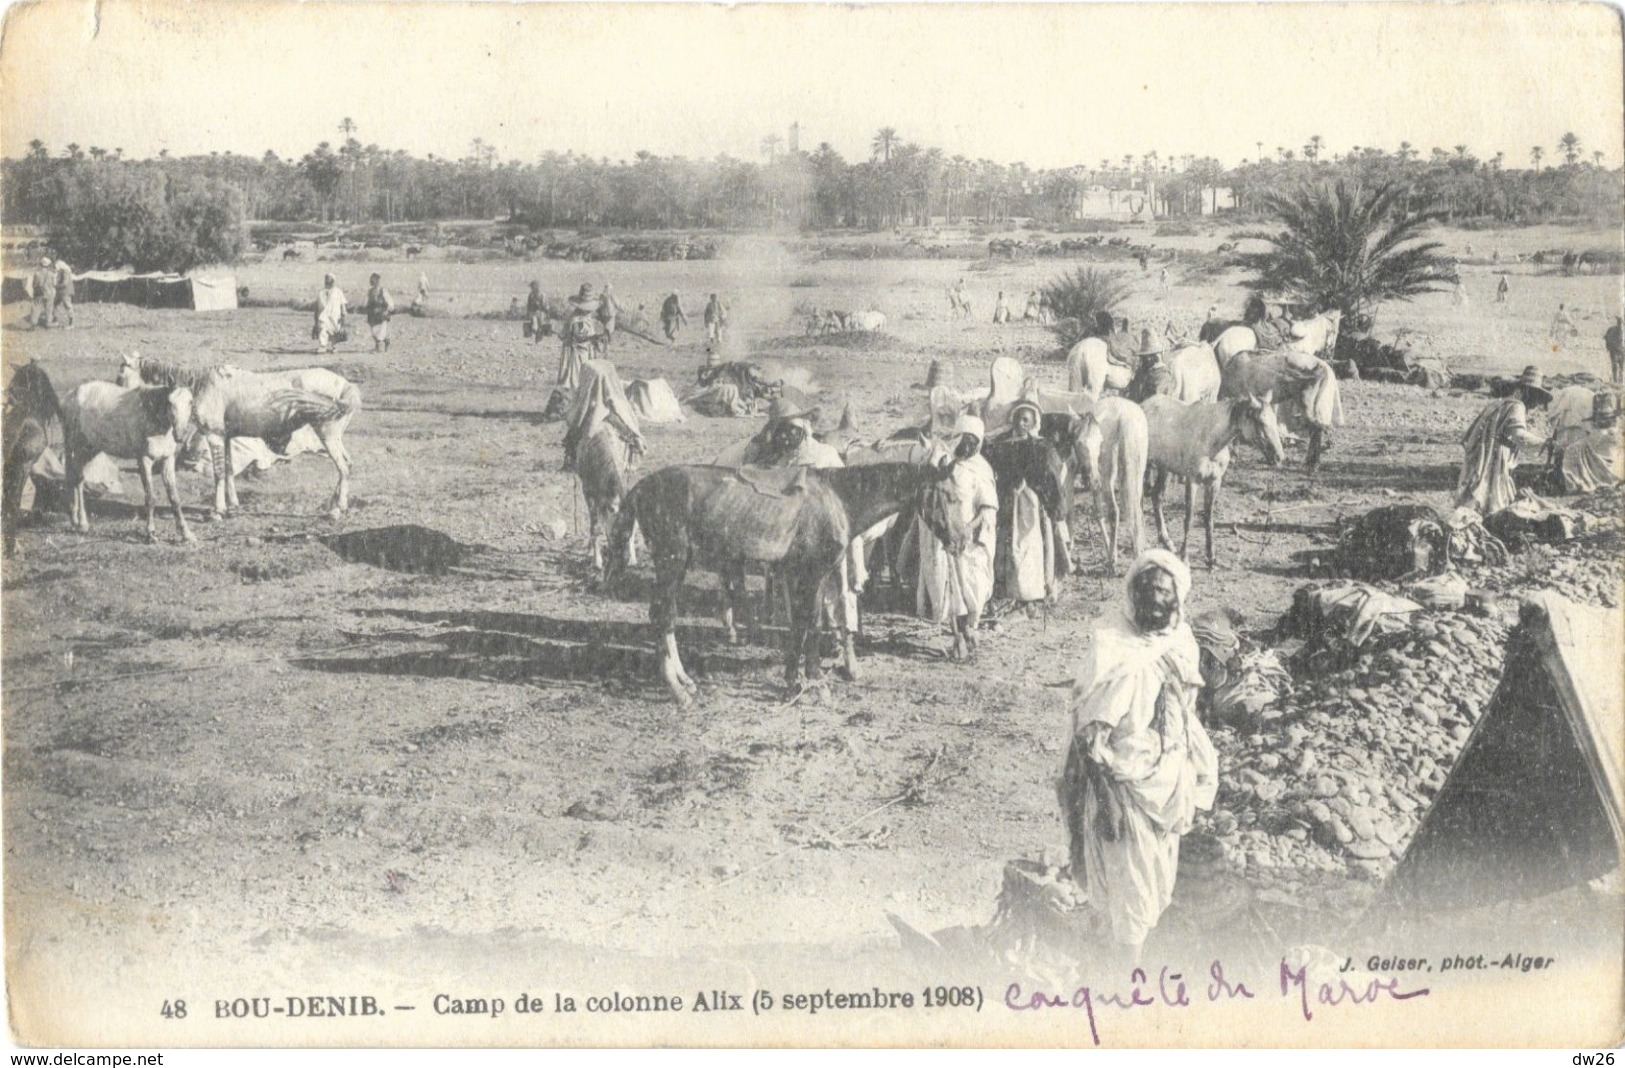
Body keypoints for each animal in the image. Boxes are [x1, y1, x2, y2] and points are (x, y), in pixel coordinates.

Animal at [118, 356, 362, 520]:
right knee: (348, 464)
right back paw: (334, 504)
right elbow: (228, 469)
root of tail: (346, 385)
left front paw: (217, 511)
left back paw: (337, 510)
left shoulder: (214, 435)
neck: (202, 385)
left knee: (343, 467)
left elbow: (218, 472)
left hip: (327, 434)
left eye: (121, 375)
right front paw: (233, 505)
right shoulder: (226, 437)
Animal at [607, 461, 949, 705]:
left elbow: (802, 624)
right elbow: (810, 625)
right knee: (662, 616)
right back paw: (677, 690)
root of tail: (640, 487)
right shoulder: (811, 573)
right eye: (947, 495)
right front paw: (814, 684)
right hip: (672, 561)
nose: (957, 540)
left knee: (668, 617)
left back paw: (685, 681)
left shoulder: (804, 575)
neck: (838, 498)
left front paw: (794, 682)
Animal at [1072, 395, 1150, 572]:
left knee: (1114, 511)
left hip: (1108, 477)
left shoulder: (1098, 481)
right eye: (1079, 443)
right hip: (1136, 473)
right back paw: (1138, 550)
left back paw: (1113, 561)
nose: (1091, 476)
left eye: (1099, 443)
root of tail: (1124, 416)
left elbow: (1099, 512)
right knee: (1136, 508)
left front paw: (1109, 553)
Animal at [1144, 393, 1280, 565]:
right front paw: (1185, 556)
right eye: (1261, 422)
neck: (1210, 440)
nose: (1279, 457)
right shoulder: (1192, 481)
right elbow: (1188, 519)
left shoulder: (1214, 482)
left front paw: (1211, 556)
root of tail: (1144, 405)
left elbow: (1209, 519)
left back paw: (1167, 542)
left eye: (1275, 420)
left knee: (1157, 496)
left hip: (1165, 469)